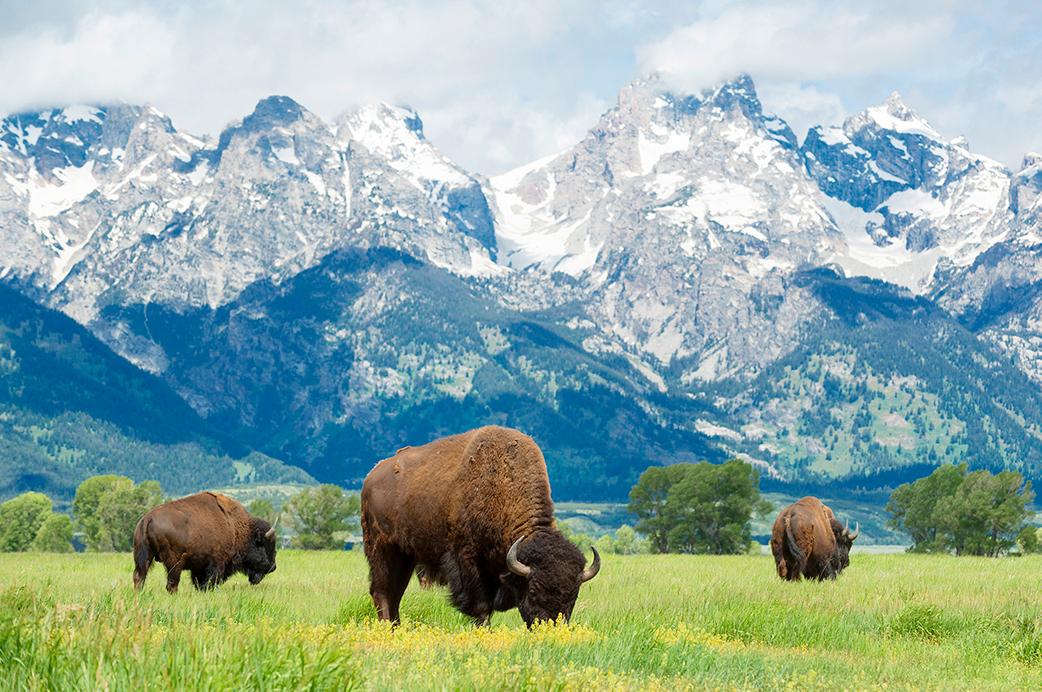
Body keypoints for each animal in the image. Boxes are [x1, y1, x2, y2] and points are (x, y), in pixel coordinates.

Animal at [132, 489, 279, 591]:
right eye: (263, 545)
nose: (273, 567)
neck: (238, 529)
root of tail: (147, 518)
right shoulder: (217, 564)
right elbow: (210, 582)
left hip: (144, 557)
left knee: (139, 577)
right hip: (174, 563)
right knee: (172, 583)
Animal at [360, 425, 600, 629]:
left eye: (574, 595)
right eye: (532, 591)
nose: (550, 627)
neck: (503, 486)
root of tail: (371, 476)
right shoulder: (469, 561)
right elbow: (482, 606)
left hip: (406, 556)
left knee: (395, 592)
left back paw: (396, 628)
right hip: (382, 550)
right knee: (382, 591)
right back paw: (387, 628)